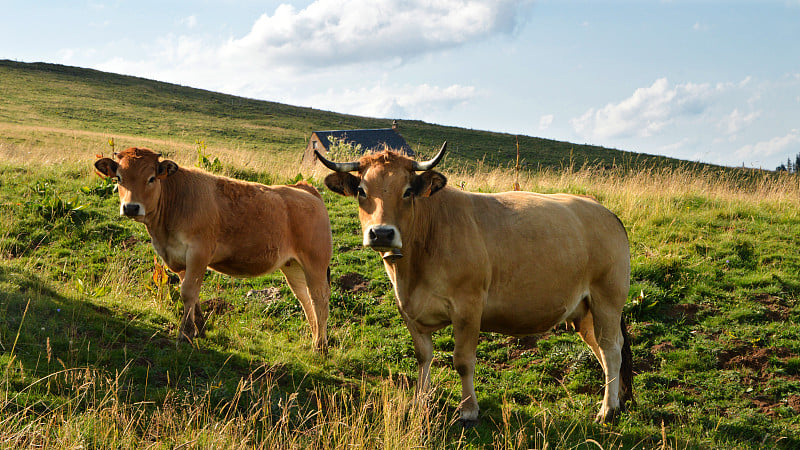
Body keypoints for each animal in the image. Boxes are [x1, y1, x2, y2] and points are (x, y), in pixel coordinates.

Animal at [95, 148, 332, 352]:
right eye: (119, 178)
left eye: (151, 178)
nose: (131, 207)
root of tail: (304, 188)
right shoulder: (177, 257)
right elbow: (192, 294)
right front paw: (199, 328)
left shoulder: (199, 252)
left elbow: (188, 292)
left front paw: (185, 334)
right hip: (292, 266)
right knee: (305, 299)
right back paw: (314, 338)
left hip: (315, 263)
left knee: (319, 298)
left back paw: (320, 346)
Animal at [316, 144, 636, 426]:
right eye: (361, 190)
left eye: (407, 191)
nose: (381, 233)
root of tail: (602, 209)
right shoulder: (408, 309)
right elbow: (423, 356)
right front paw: (421, 400)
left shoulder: (468, 308)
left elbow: (463, 361)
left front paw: (469, 410)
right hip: (585, 311)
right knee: (603, 351)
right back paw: (617, 401)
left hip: (608, 299)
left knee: (611, 348)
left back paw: (607, 410)